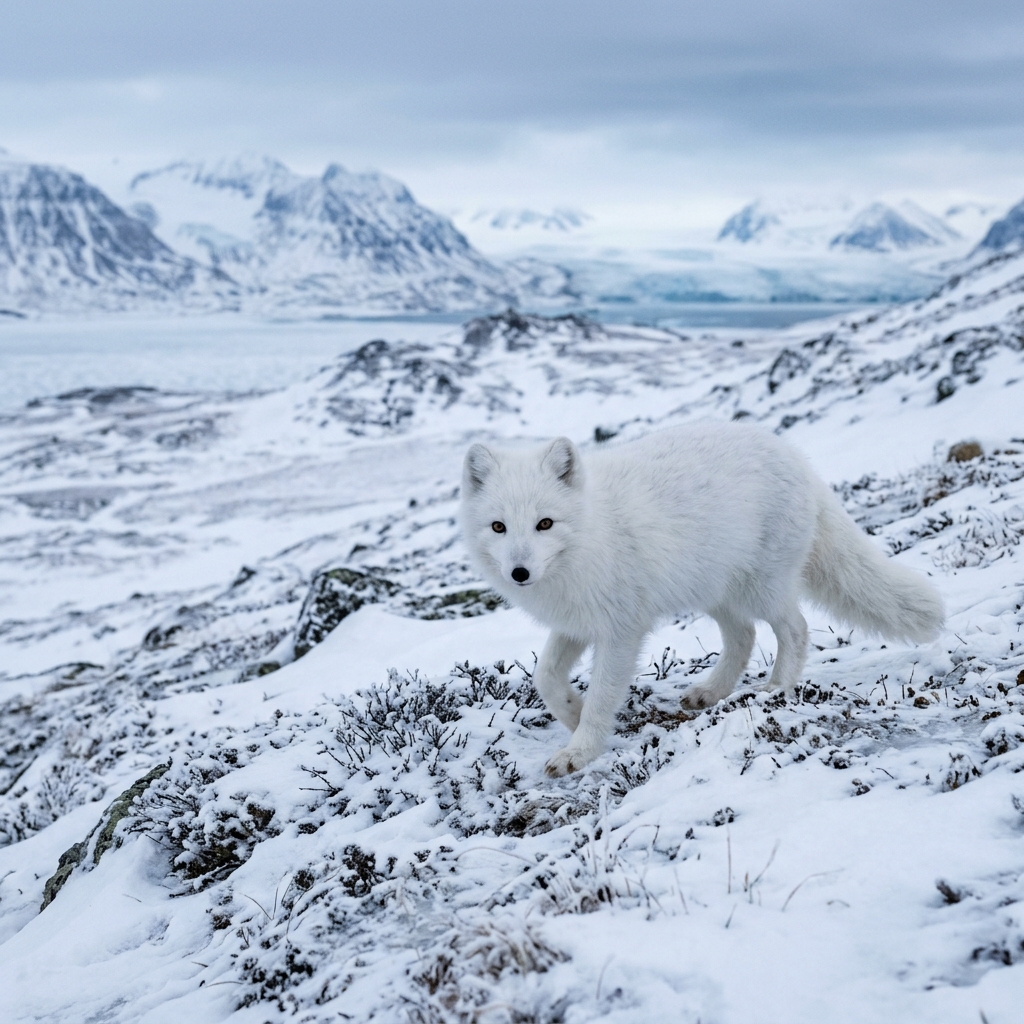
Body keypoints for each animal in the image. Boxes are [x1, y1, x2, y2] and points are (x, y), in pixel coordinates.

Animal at [460, 421, 944, 777]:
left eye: (545, 523)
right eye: (499, 527)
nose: (519, 573)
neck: (590, 534)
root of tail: (797, 459)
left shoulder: (622, 630)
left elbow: (601, 696)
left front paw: (580, 749)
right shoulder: (576, 623)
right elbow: (545, 677)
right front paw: (573, 715)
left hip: (761, 587)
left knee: (795, 629)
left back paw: (776, 689)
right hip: (717, 592)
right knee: (744, 637)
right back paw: (711, 693)